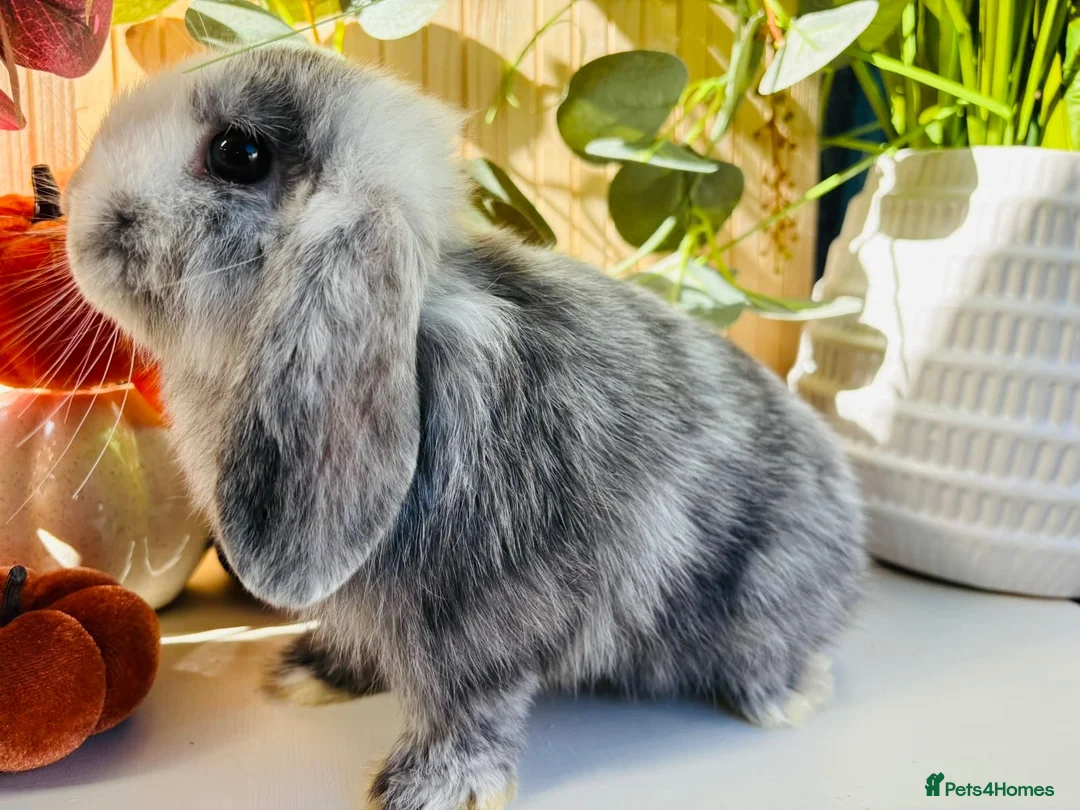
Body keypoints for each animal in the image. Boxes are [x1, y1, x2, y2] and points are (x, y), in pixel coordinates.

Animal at [65, 45, 865, 810]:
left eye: (239, 153)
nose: (76, 214)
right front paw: (310, 674)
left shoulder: (484, 615)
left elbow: (468, 704)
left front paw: (428, 789)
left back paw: (786, 698)